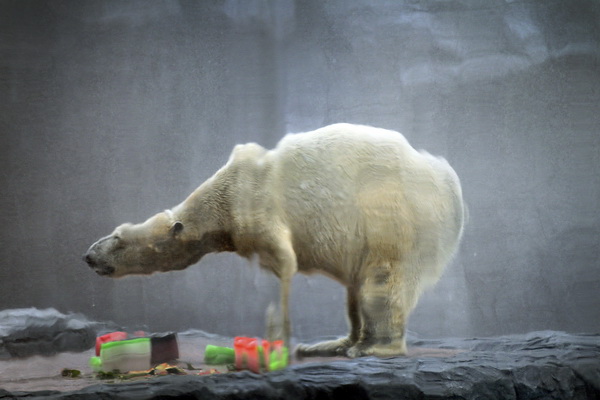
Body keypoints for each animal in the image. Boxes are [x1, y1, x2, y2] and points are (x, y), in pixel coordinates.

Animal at [84, 123, 464, 358]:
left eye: (118, 238)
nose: (88, 255)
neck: (226, 194)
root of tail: (449, 182)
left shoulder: (258, 210)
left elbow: (284, 266)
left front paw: (276, 335)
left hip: (394, 218)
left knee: (381, 284)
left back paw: (370, 347)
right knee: (356, 292)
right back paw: (333, 344)